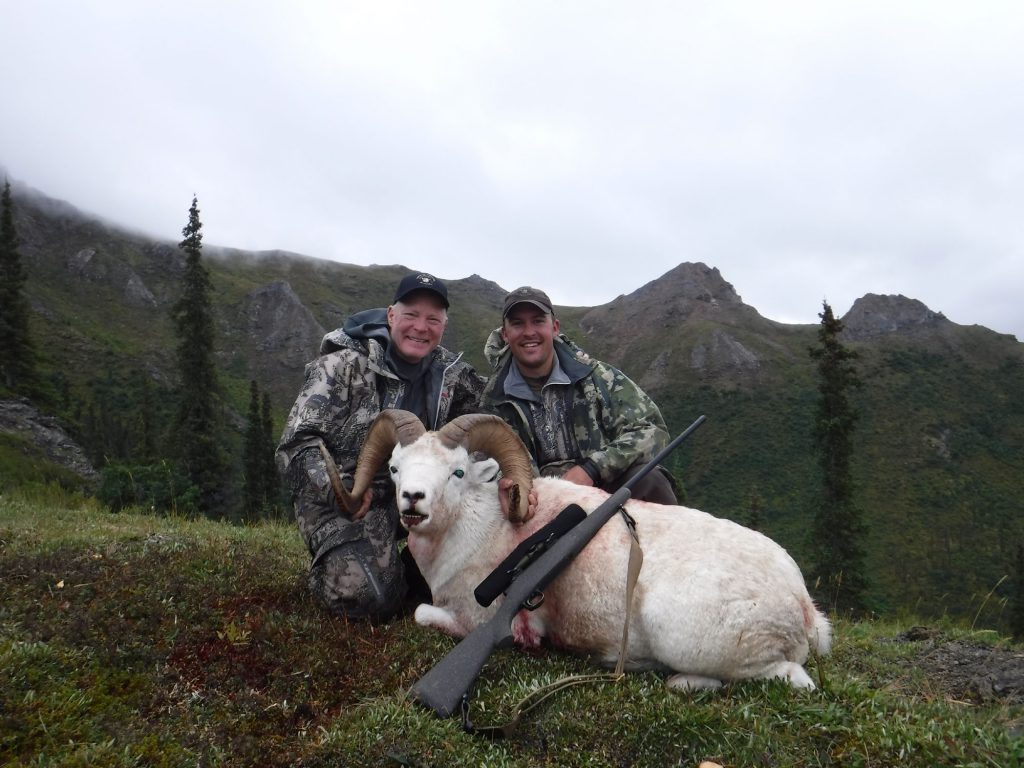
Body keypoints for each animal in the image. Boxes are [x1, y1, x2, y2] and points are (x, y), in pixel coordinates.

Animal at [329, 409, 831, 692]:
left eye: (456, 472)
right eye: (396, 467)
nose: (413, 501)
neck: (481, 530)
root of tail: (804, 607)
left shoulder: (472, 620)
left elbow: (421, 614)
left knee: (794, 681)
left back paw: (677, 681)